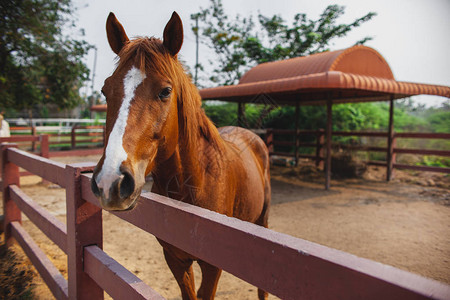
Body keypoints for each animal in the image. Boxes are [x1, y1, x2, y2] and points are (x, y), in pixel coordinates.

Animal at [89, 11, 268, 300]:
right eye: (106, 91)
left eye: (165, 91)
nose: (110, 182)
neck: (194, 182)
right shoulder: (175, 259)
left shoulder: (212, 267)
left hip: (263, 221)